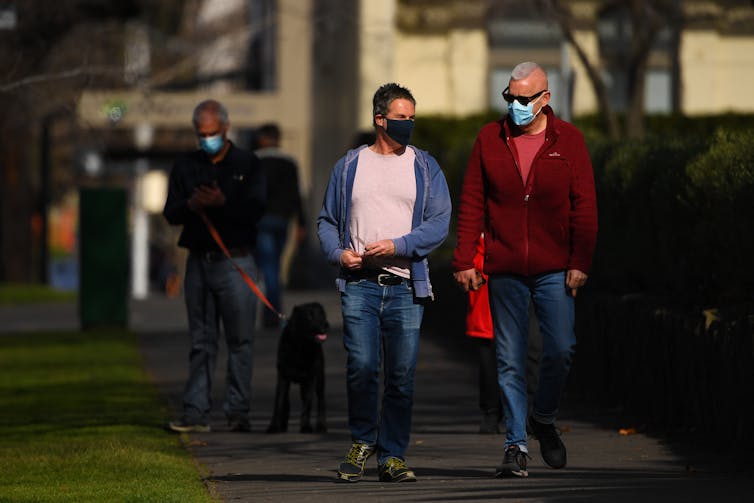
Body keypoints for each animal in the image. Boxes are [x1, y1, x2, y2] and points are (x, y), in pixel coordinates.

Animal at [266, 302, 328, 436]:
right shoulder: (283, 378)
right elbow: (279, 403)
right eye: (309, 316)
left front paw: (306, 427)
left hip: (319, 378)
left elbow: (307, 404)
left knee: (321, 401)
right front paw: (274, 426)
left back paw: (321, 426)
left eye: (322, 314)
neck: (301, 346)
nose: (325, 325)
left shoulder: (310, 379)